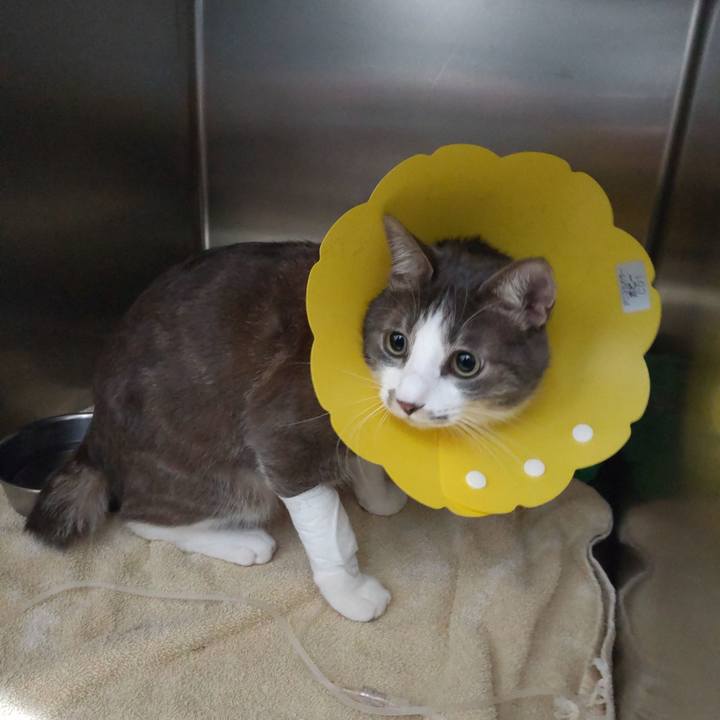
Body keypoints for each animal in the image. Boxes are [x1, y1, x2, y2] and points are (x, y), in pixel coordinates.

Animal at [26, 216, 555, 622]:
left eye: (465, 362)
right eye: (397, 341)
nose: (407, 403)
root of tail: (95, 436)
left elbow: (365, 459)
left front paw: (379, 495)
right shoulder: (284, 434)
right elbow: (326, 526)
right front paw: (349, 589)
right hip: (221, 477)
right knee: (139, 516)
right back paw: (243, 542)